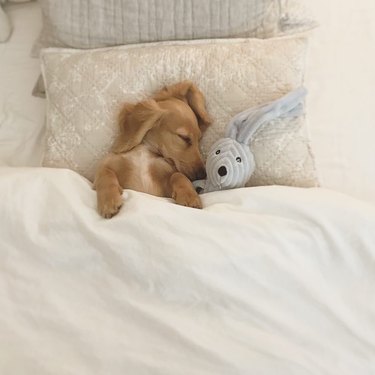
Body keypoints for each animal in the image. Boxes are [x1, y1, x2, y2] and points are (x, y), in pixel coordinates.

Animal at [94, 81, 212, 219]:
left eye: (199, 139)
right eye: (184, 138)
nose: (203, 174)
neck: (146, 151)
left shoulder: (165, 186)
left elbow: (178, 175)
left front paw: (190, 196)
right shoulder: (104, 167)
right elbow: (105, 174)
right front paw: (109, 201)